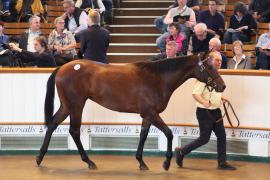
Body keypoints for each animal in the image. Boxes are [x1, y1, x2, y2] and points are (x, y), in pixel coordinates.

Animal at [35, 52, 226, 171]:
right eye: (210, 67)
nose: (222, 86)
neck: (157, 79)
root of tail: (63, 67)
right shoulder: (151, 113)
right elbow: (169, 133)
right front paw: (166, 163)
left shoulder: (147, 115)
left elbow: (143, 135)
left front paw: (141, 162)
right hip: (76, 106)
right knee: (74, 131)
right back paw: (89, 162)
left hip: (67, 106)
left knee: (52, 124)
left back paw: (39, 157)